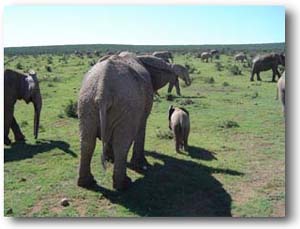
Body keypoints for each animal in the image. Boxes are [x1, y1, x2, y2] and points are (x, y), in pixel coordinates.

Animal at [77, 52, 179, 191]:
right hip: (126, 106)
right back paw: (124, 184)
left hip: (86, 102)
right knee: (121, 144)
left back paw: (87, 183)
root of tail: (102, 91)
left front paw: (110, 159)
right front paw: (141, 164)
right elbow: (141, 127)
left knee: (87, 142)